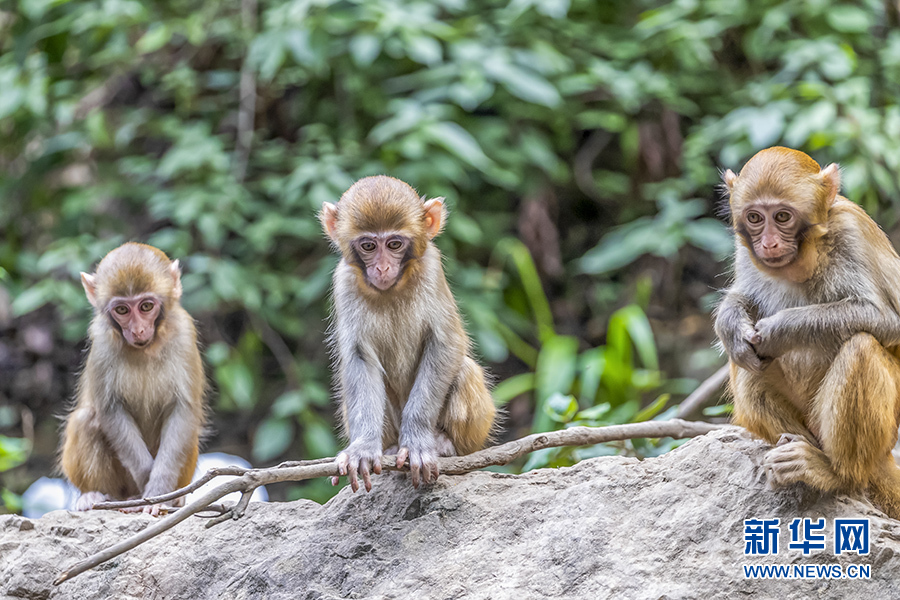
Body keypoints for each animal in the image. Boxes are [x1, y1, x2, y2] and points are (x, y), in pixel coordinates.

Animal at [60, 241, 205, 512]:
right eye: (122, 309)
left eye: (146, 306)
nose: (137, 330)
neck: (146, 348)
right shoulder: (103, 342)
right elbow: (110, 410)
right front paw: (148, 482)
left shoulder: (183, 333)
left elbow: (183, 409)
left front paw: (159, 491)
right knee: (87, 419)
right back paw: (98, 496)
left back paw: (176, 496)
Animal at [320, 175, 496, 492]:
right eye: (368, 245)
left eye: (394, 244)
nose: (382, 267)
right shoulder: (344, 281)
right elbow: (358, 358)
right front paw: (363, 448)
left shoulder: (431, 268)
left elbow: (446, 344)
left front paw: (417, 442)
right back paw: (389, 447)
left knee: (465, 368)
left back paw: (445, 444)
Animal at [720, 146, 900, 520]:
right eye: (755, 218)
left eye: (782, 217)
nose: (769, 244)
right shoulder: (744, 250)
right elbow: (743, 306)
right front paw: (730, 322)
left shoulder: (851, 231)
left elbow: (887, 320)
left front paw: (778, 330)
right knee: (745, 363)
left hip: (885, 432)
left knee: (861, 346)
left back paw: (834, 473)